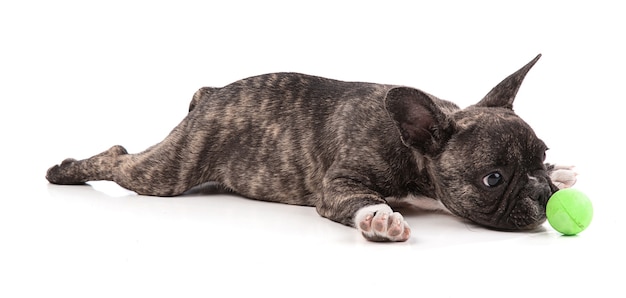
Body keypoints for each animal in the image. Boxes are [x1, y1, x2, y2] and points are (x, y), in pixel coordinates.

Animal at [47, 54, 576, 242]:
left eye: (541, 155)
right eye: (493, 179)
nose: (541, 191)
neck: (412, 146)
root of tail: (210, 95)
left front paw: (562, 174)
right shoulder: (340, 183)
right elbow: (359, 199)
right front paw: (380, 218)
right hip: (169, 171)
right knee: (118, 157)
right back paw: (64, 170)